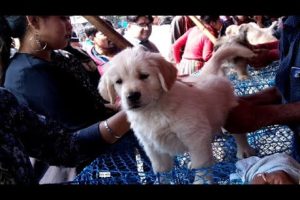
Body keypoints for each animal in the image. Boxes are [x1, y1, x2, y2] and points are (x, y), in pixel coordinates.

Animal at [98, 45, 255, 184]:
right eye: (118, 81)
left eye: (144, 76)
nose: (132, 96)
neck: (152, 110)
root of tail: (208, 73)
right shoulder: (152, 146)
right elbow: (161, 170)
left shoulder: (194, 135)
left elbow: (202, 165)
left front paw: (201, 181)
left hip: (230, 112)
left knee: (238, 134)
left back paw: (244, 150)